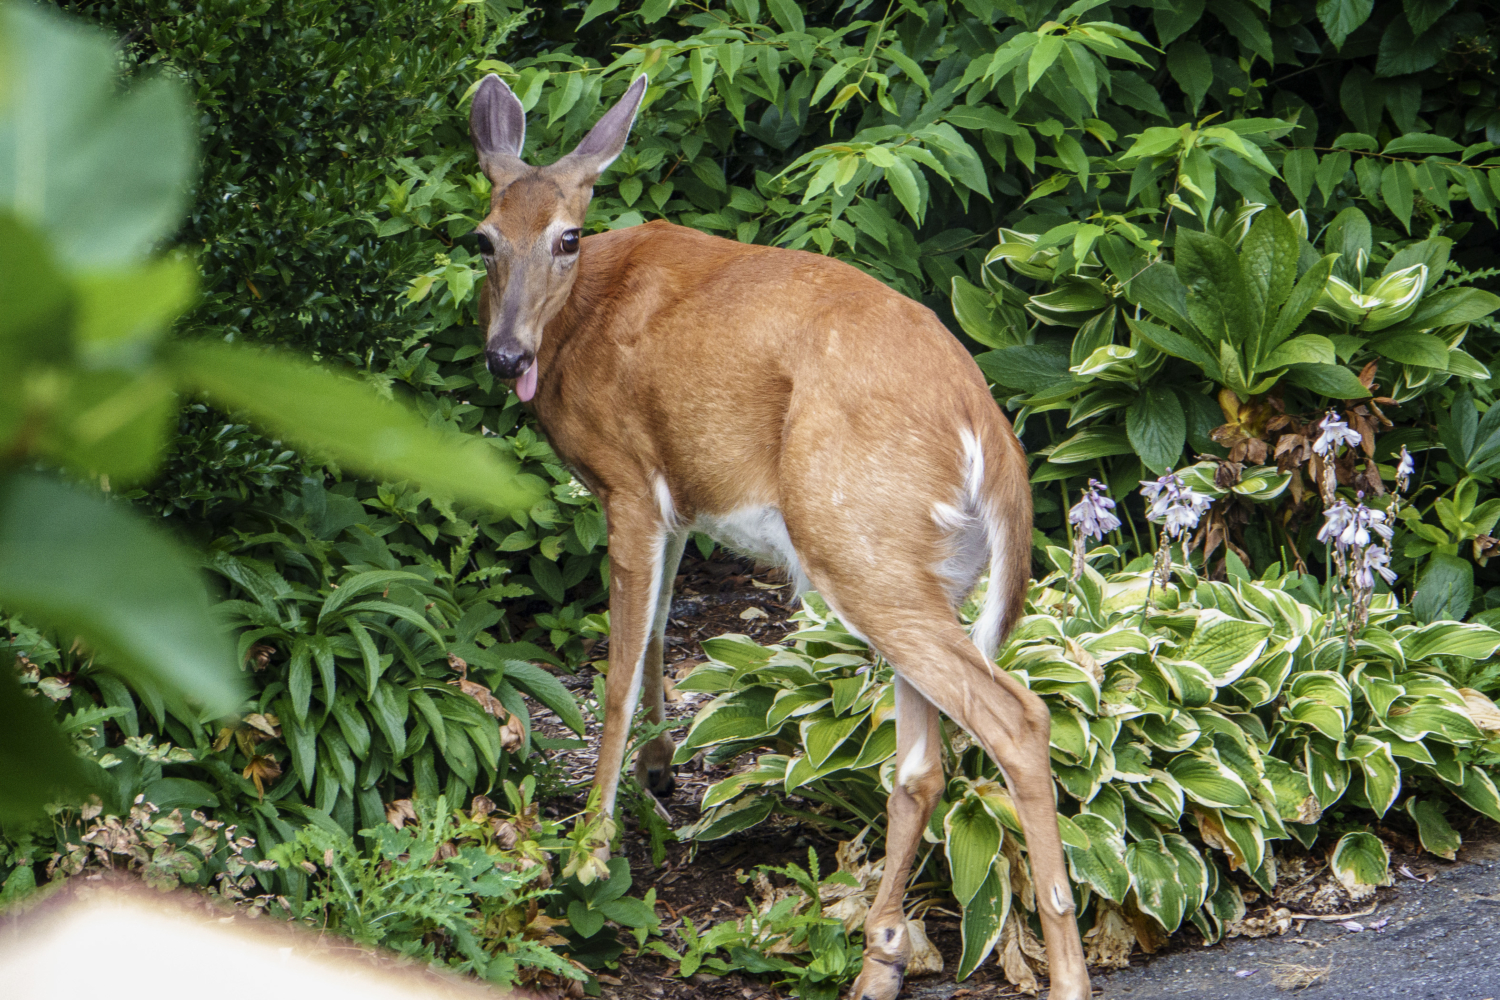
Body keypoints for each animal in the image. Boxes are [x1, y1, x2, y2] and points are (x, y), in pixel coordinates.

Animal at [467, 73, 1091, 1000]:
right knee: (921, 765)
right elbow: (659, 632)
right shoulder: (680, 498)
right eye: (482, 241)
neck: (579, 324)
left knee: (1016, 717)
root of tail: (991, 432)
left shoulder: (627, 480)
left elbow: (614, 673)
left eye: (567, 238)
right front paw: (659, 769)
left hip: (853, 539)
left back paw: (1062, 975)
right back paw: (879, 961)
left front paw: (587, 853)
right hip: (910, 564)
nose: (505, 357)